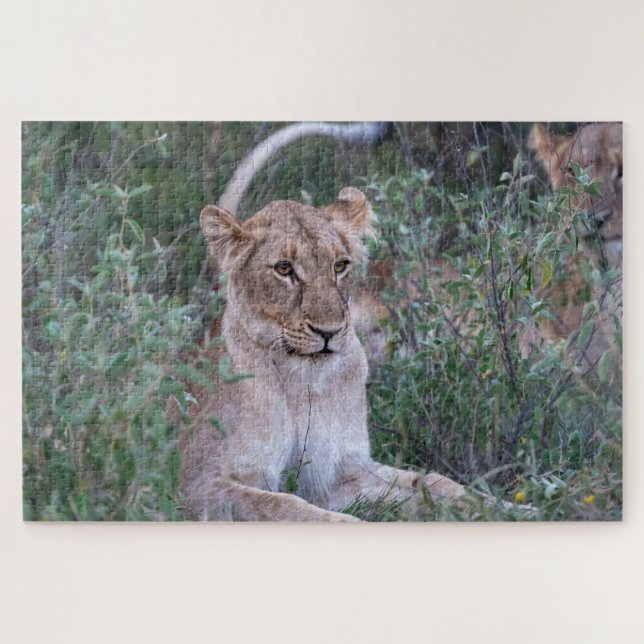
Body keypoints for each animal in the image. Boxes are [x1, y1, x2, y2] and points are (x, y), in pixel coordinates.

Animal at [177, 187, 465, 521]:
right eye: (284, 268)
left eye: (339, 266)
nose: (329, 331)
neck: (301, 380)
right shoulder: (195, 484)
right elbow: (282, 505)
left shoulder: (339, 473)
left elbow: (433, 483)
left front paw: (488, 503)